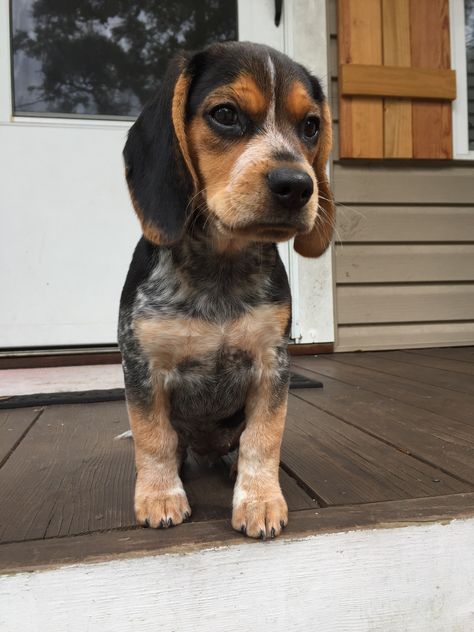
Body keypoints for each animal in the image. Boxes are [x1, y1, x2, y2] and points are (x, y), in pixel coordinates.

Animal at [118, 40, 334, 540]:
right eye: (225, 114)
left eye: (311, 125)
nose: (297, 185)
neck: (220, 265)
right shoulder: (142, 365)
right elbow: (153, 437)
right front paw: (159, 496)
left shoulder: (272, 363)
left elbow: (263, 438)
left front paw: (259, 500)